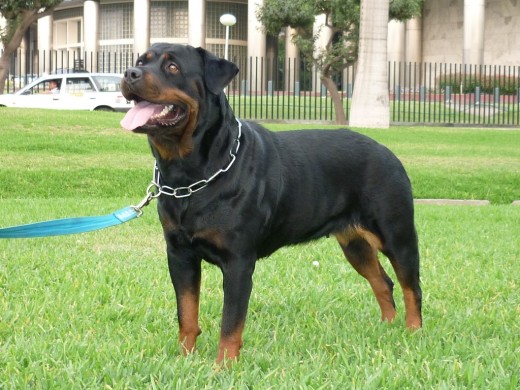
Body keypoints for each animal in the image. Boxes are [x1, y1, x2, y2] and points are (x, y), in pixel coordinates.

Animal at [120, 44, 420, 364]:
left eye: (173, 67)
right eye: (141, 62)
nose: (130, 73)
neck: (189, 174)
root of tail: (387, 152)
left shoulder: (238, 262)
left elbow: (231, 322)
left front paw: (223, 365)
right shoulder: (180, 255)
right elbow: (186, 312)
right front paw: (185, 358)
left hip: (396, 234)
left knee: (410, 285)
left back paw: (414, 332)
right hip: (355, 243)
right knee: (383, 282)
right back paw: (387, 327)